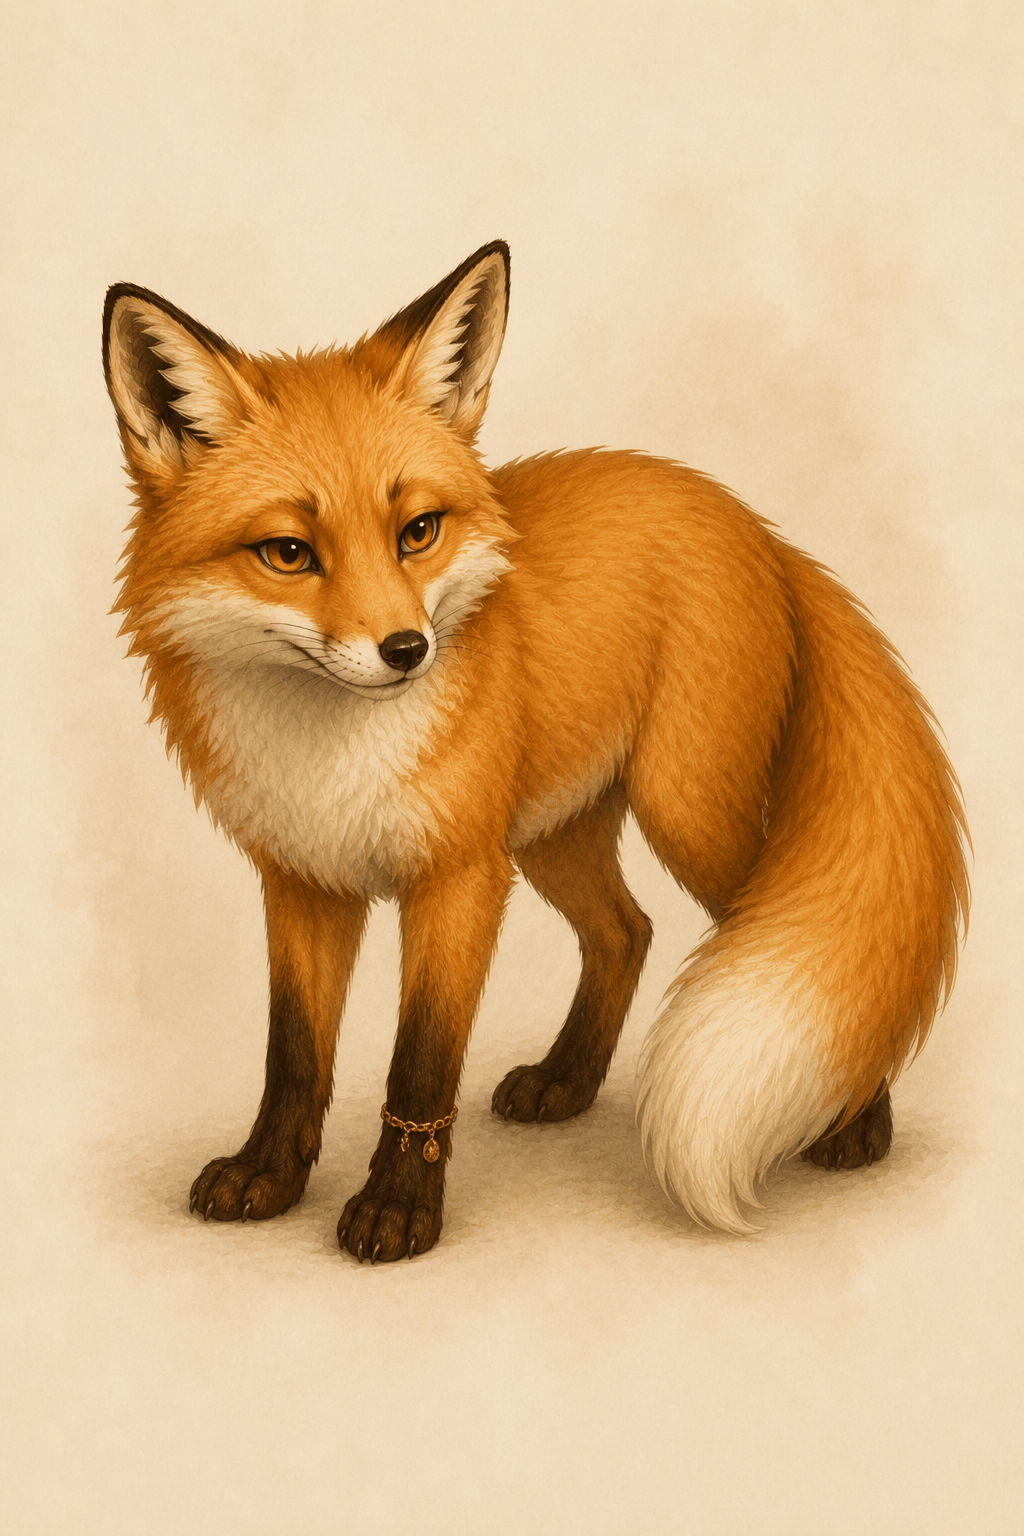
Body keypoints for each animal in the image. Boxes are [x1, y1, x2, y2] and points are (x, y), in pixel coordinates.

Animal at [103, 240, 968, 1261]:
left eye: (417, 532)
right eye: (288, 553)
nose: (408, 650)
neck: (330, 754)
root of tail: (752, 524)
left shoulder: (459, 877)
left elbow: (421, 1061)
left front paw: (399, 1207)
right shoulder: (305, 880)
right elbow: (294, 1053)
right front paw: (270, 1174)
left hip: (684, 815)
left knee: (806, 943)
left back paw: (857, 1121)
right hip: (554, 834)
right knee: (627, 931)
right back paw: (568, 1080)